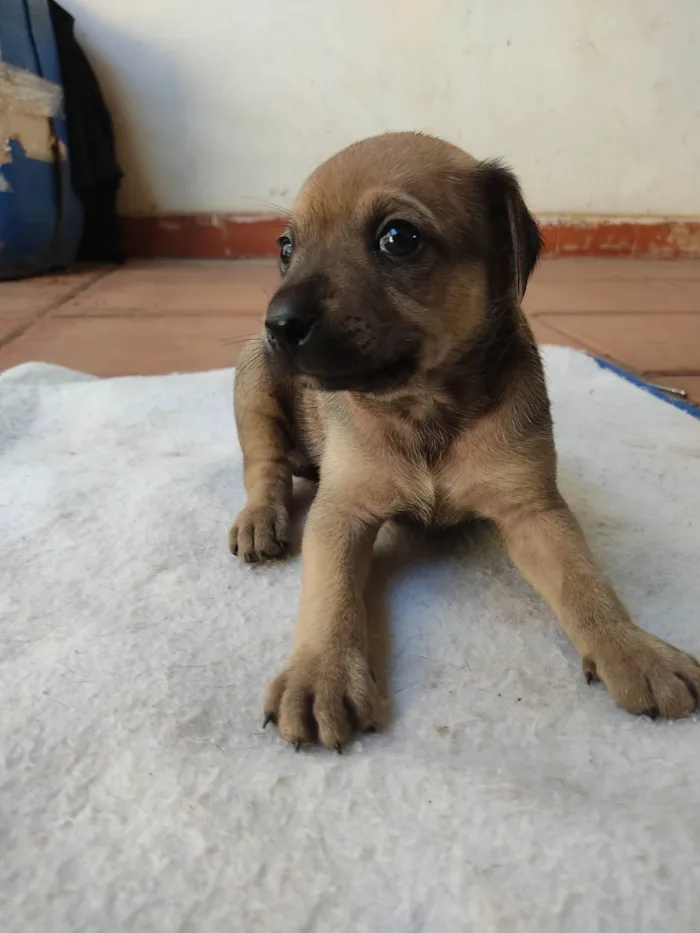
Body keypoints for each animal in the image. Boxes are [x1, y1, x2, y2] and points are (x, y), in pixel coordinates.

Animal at [230, 133, 700, 748]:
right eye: (286, 247)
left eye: (398, 238)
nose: (279, 324)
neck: (425, 406)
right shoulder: (342, 512)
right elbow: (329, 595)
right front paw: (319, 674)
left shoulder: (533, 510)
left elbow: (584, 583)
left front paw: (634, 650)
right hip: (253, 380)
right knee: (264, 466)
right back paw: (260, 519)